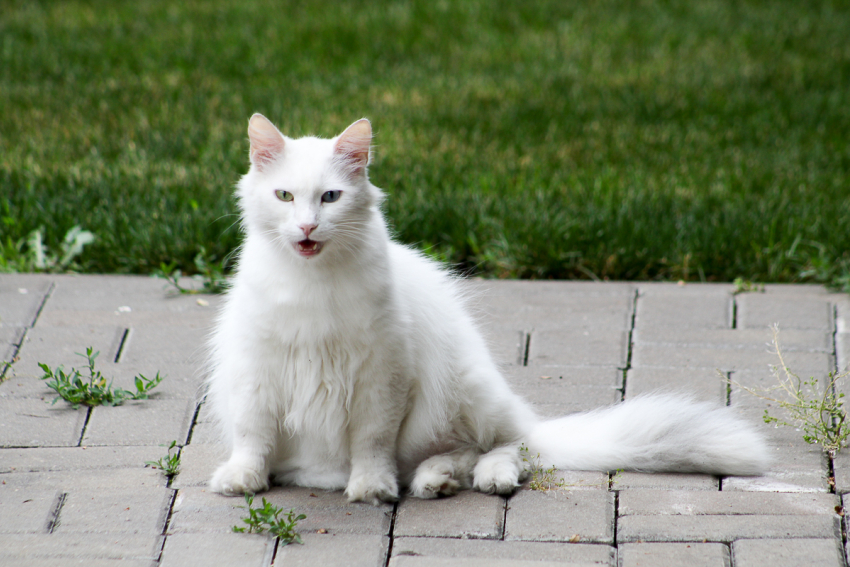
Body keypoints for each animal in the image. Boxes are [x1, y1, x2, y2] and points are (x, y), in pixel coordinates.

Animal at [205, 115, 768, 506]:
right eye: (284, 196)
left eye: (329, 197)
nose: (306, 228)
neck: (312, 285)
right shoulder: (257, 370)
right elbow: (254, 436)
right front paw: (242, 478)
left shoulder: (381, 376)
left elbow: (371, 443)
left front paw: (370, 488)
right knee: (462, 454)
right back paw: (436, 480)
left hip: (465, 389)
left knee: (506, 447)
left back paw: (473, 479)